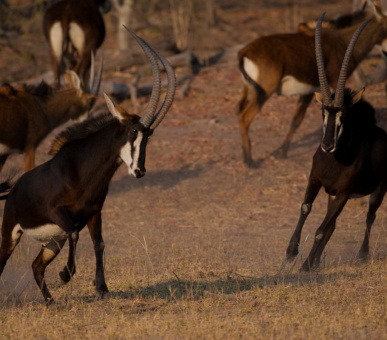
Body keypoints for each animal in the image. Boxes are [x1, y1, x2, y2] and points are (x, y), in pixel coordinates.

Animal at [0, 26, 177, 306]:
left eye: (149, 135)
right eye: (133, 131)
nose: (139, 171)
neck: (82, 171)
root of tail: (13, 191)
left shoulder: (94, 213)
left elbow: (99, 243)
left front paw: (101, 288)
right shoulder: (58, 213)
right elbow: (76, 233)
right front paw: (65, 275)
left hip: (53, 241)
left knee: (36, 266)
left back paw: (50, 302)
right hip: (11, 234)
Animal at [238, 0, 387, 167]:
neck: (341, 40)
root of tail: (244, 52)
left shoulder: (309, 91)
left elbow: (296, 120)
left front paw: (281, 152)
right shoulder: (332, 85)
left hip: (251, 91)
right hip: (264, 92)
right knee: (245, 117)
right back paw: (249, 161)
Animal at [284, 13, 387, 272]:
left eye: (344, 114)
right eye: (323, 111)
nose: (327, 146)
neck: (335, 159)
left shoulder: (343, 193)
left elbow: (321, 230)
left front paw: (304, 265)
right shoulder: (316, 179)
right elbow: (306, 208)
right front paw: (291, 253)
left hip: (378, 190)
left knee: (369, 216)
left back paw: (361, 255)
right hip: (334, 196)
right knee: (334, 225)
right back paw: (316, 261)